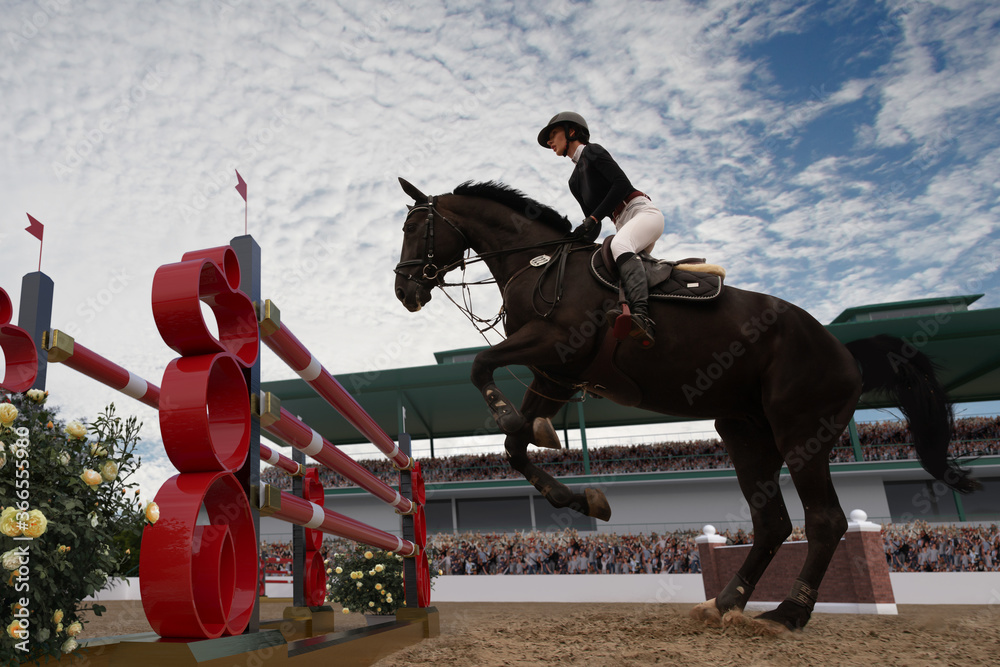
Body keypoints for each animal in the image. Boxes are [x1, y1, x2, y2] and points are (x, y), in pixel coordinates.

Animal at [392, 176, 976, 632]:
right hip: (746, 433)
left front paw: (514, 417)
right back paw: (725, 603)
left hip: (801, 431)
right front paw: (584, 499)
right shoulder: (554, 374)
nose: (404, 293)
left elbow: (481, 371)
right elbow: (515, 449)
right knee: (772, 524)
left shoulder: (555, 345)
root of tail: (844, 351)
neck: (537, 264)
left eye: (412, 229)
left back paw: (788, 613)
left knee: (825, 520)